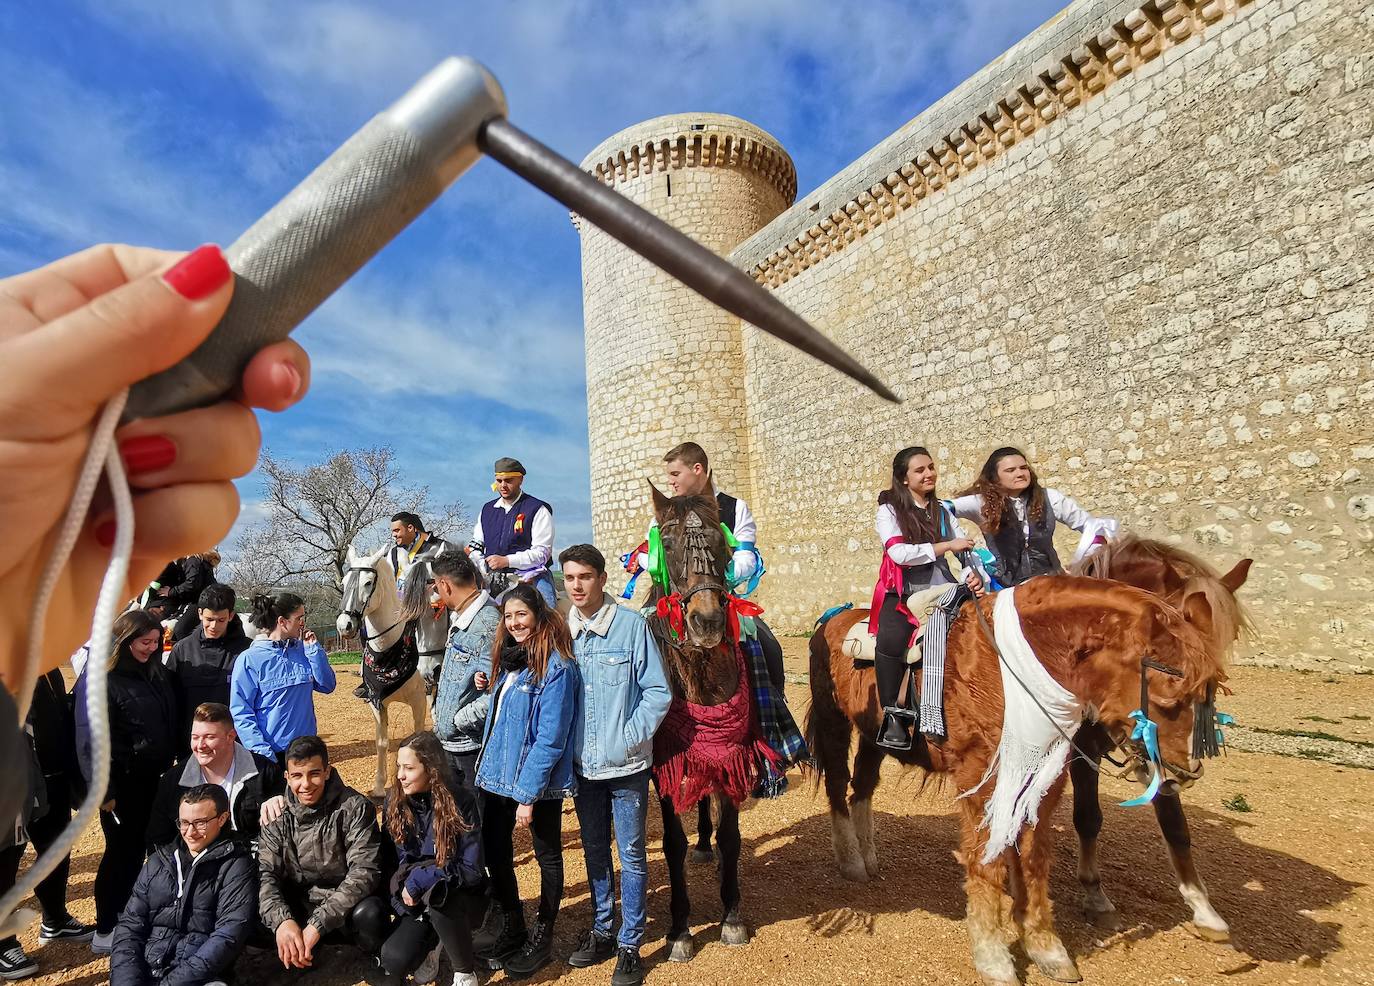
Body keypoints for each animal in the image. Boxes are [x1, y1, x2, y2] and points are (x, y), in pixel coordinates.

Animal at [336, 543, 428, 801]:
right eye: (344, 582)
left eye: (368, 583)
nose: (344, 626)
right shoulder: (377, 703)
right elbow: (382, 742)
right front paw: (378, 787)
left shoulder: (419, 700)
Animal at [802, 576, 1231, 983]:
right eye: (1169, 697)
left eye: (1208, 692)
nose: (1184, 774)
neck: (1012, 669)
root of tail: (836, 618)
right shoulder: (979, 778)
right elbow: (987, 859)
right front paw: (993, 957)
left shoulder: (1044, 778)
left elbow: (1032, 856)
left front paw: (1046, 947)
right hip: (835, 722)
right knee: (838, 785)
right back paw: (851, 860)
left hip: (873, 735)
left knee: (862, 788)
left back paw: (869, 857)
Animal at [1066, 541, 1253, 944]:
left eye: (1227, 637)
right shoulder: (1081, 751)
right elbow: (1088, 817)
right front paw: (1095, 896)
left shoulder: (1160, 752)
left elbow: (1176, 825)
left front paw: (1204, 909)